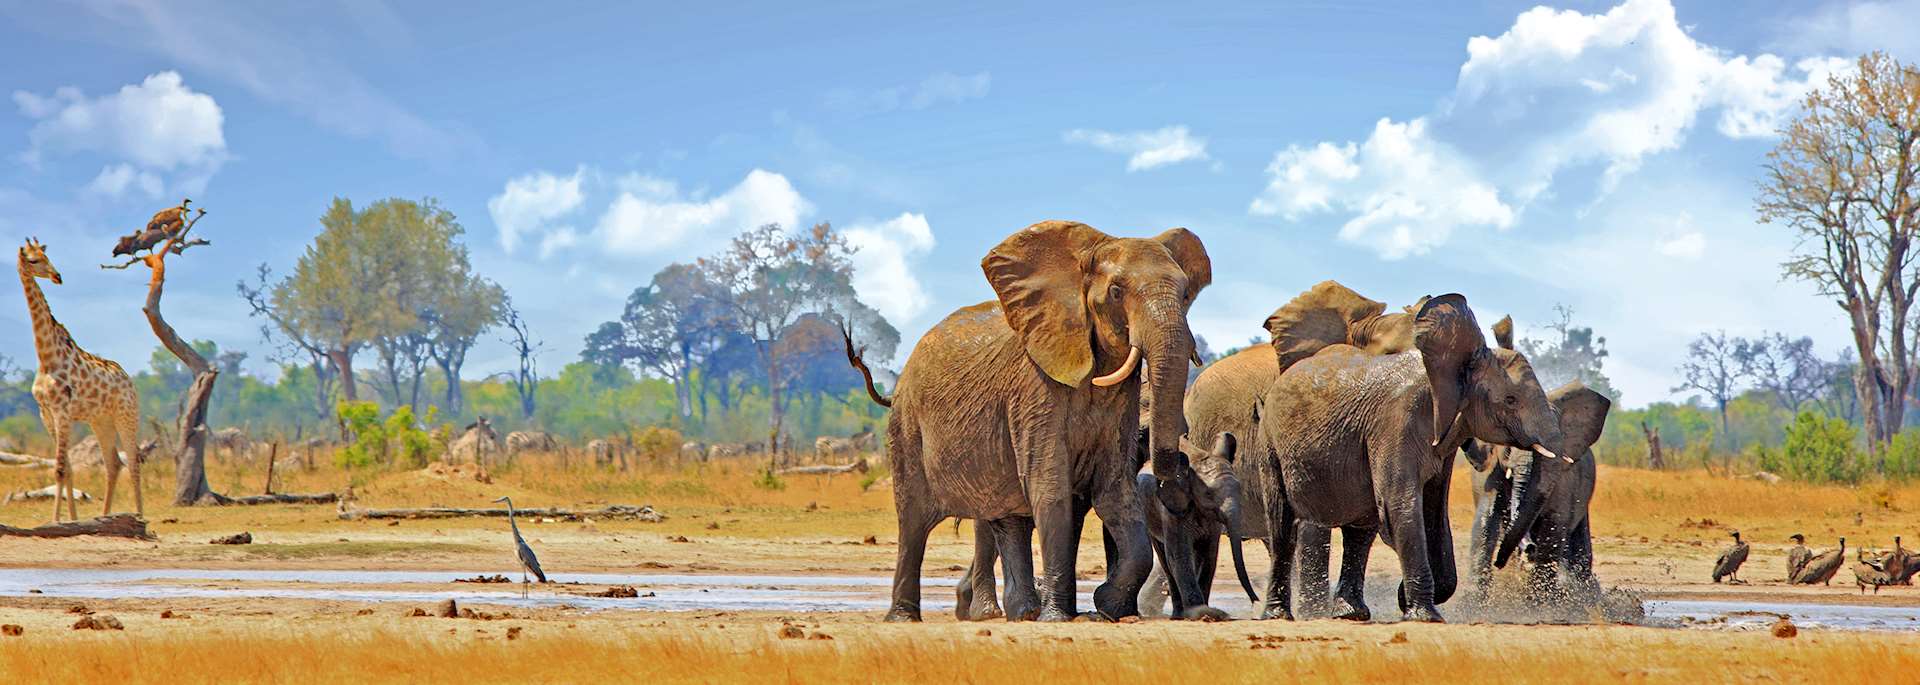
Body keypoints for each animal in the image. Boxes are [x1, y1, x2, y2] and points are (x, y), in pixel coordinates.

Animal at [848, 220, 1216, 622]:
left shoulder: (1120, 403)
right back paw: (912, 617)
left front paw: (1106, 606)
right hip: (907, 424)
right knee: (914, 521)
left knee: (1008, 519)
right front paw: (1060, 617)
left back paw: (1021, 612)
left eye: (1185, 293)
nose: (1177, 474)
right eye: (1116, 292)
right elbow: (1050, 489)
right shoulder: (1033, 389)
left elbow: (1115, 493)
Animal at [1254, 291, 1563, 623]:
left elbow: (1433, 511)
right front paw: (1425, 616)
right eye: (1510, 400)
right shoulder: (1395, 420)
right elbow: (1399, 504)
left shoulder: (1446, 433)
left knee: (1360, 530)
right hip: (1270, 443)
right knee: (1282, 526)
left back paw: (1351, 614)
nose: (1526, 553)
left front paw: (1411, 600)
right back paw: (1278, 615)